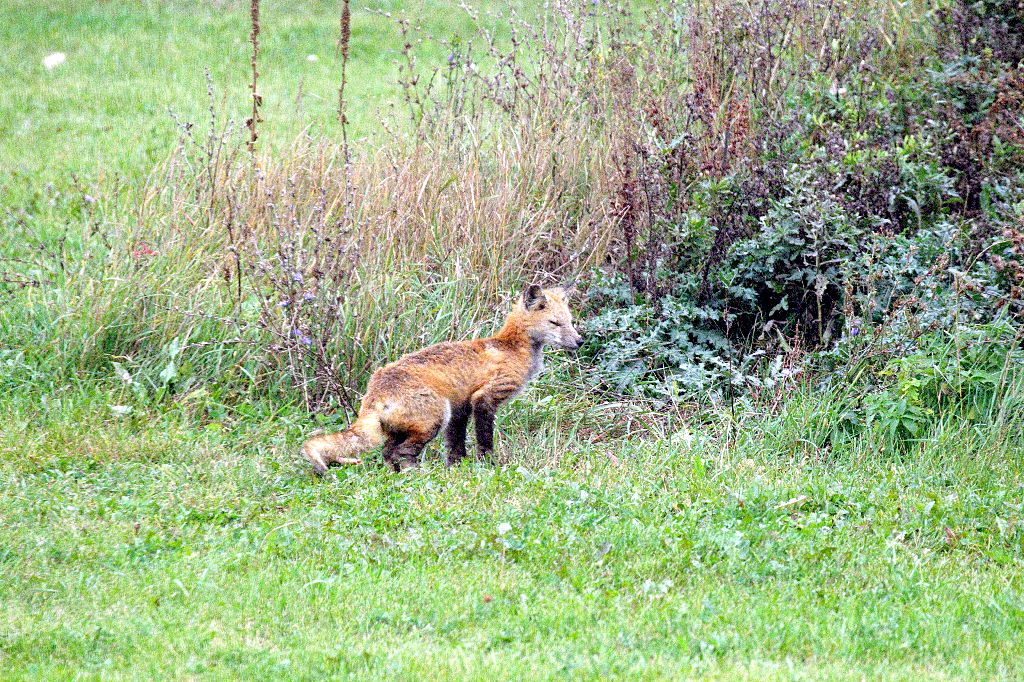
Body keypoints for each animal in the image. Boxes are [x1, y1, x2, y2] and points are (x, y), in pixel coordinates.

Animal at [300, 284, 584, 473]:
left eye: (570, 321)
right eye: (555, 323)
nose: (580, 341)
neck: (511, 347)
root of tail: (375, 390)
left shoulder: (461, 407)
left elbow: (455, 444)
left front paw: (457, 467)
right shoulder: (485, 398)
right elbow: (484, 440)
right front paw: (488, 465)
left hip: (405, 427)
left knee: (387, 453)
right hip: (435, 418)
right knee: (401, 452)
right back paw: (416, 474)